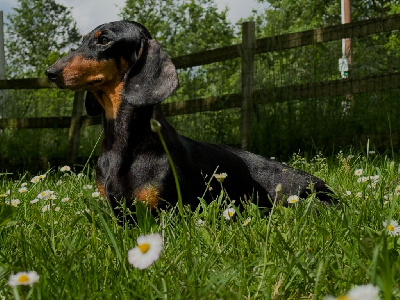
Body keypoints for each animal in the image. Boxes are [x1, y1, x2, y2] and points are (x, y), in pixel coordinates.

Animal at [45, 20, 332, 218]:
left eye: (104, 39)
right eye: (83, 40)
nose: (50, 72)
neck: (124, 143)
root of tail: (327, 189)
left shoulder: (165, 214)